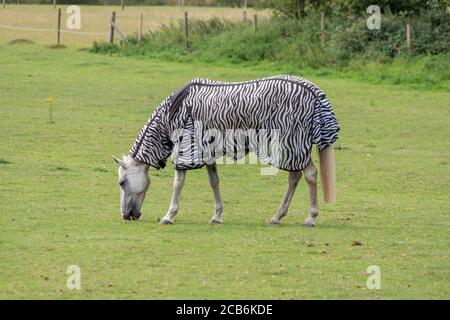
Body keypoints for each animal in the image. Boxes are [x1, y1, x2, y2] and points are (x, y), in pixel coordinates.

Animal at [111, 75, 338, 225]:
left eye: (121, 182)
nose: (125, 215)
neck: (173, 112)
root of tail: (314, 92)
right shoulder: (206, 151)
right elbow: (214, 182)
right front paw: (217, 215)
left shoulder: (187, 146)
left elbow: (178, 184)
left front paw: (169, 215)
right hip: (293, 147)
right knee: (295, 177)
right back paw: (277, 216)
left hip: (290, 144)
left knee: (308, 174)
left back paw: (310, 217)